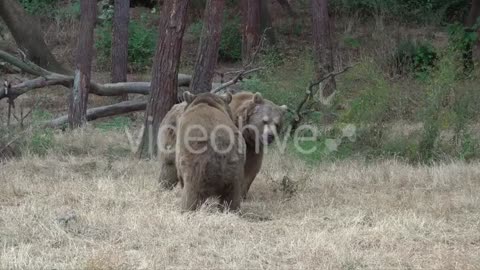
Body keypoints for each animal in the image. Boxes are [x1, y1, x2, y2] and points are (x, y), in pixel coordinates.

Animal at [158, 90, 286, 198]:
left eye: (277, 124)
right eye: (265, 120)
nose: (270, 135)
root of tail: (173, 107)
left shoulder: (252, 147)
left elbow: (250, 169)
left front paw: (243, 194)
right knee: (169, 165)